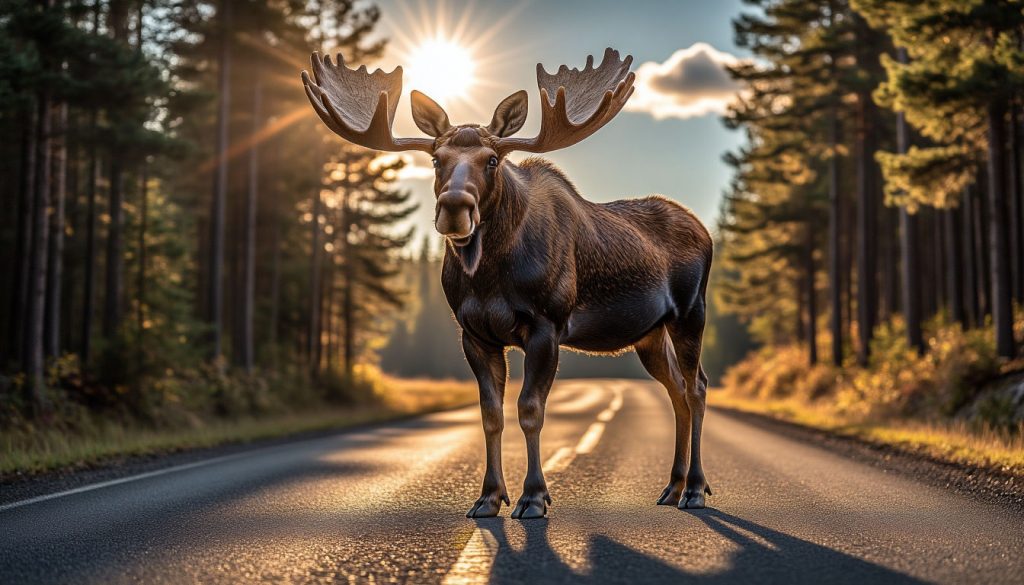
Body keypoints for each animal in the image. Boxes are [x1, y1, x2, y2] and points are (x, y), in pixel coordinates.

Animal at [301, 47, 713, 519]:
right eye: (436, 160)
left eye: (492, 160)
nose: (454, 207)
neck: (489, 277)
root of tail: (705, 231)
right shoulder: (474, 333)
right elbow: (490, 414)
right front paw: (488, 496)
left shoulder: (546, 325)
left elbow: (530, 409)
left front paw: (533, 496)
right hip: (650, 334)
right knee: (677, 391)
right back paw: (673, 486)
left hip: (691, 313)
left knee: (697, 387)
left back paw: (696, 488)